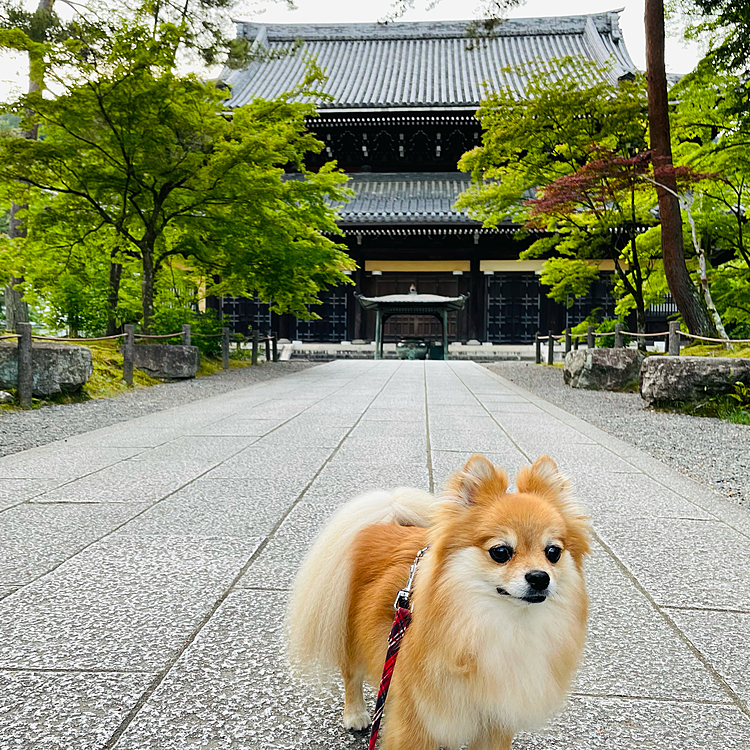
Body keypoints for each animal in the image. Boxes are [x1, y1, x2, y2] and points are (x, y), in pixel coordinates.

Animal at [290, 456, 592, 748]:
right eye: (500, 552)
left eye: (553, 552)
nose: (540, 577)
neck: (501, 622)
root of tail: (383, 524)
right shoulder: (418, 715)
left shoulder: (496, 717)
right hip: (352, 634)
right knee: (351, 674)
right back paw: (355, 713)